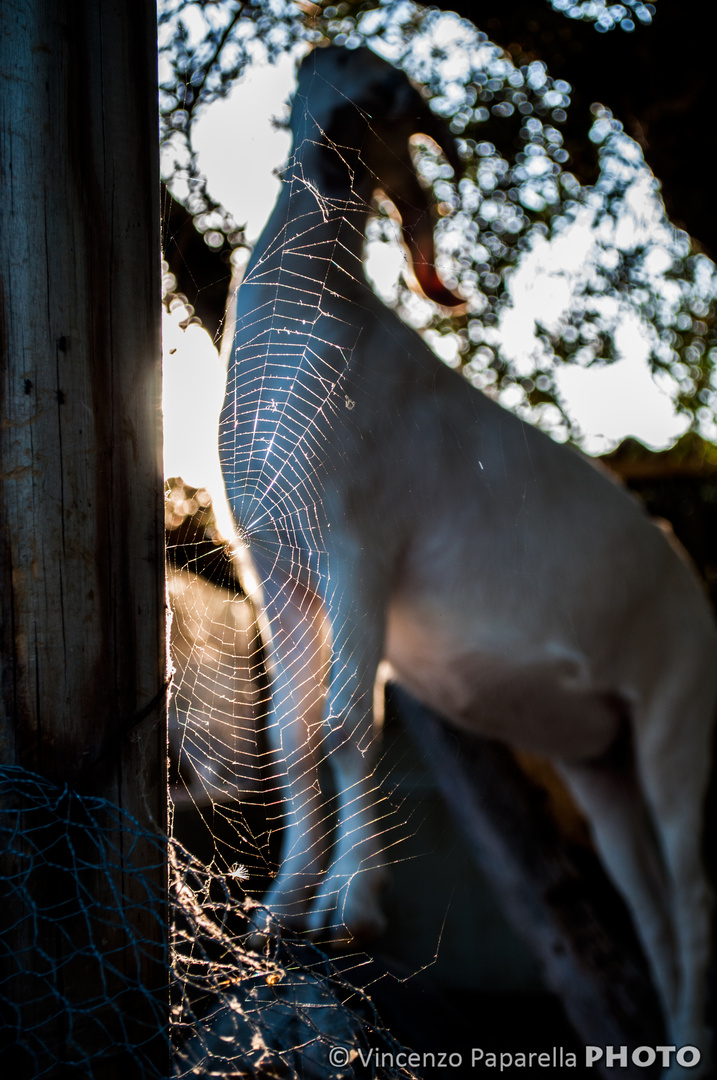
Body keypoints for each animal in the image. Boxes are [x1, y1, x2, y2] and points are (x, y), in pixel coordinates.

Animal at [220, 44, 717, 1054]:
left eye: (382, 106)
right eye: (308, 90)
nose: (328, 167)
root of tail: (685, 574)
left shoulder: (359, 552)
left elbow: (347, 727)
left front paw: (351, 912)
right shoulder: (276, 571)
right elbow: (290, 733)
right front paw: (281, 912)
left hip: (677, 718)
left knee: (690, 898)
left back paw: (687, 1052)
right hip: (600, 761)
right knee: (646, 906)